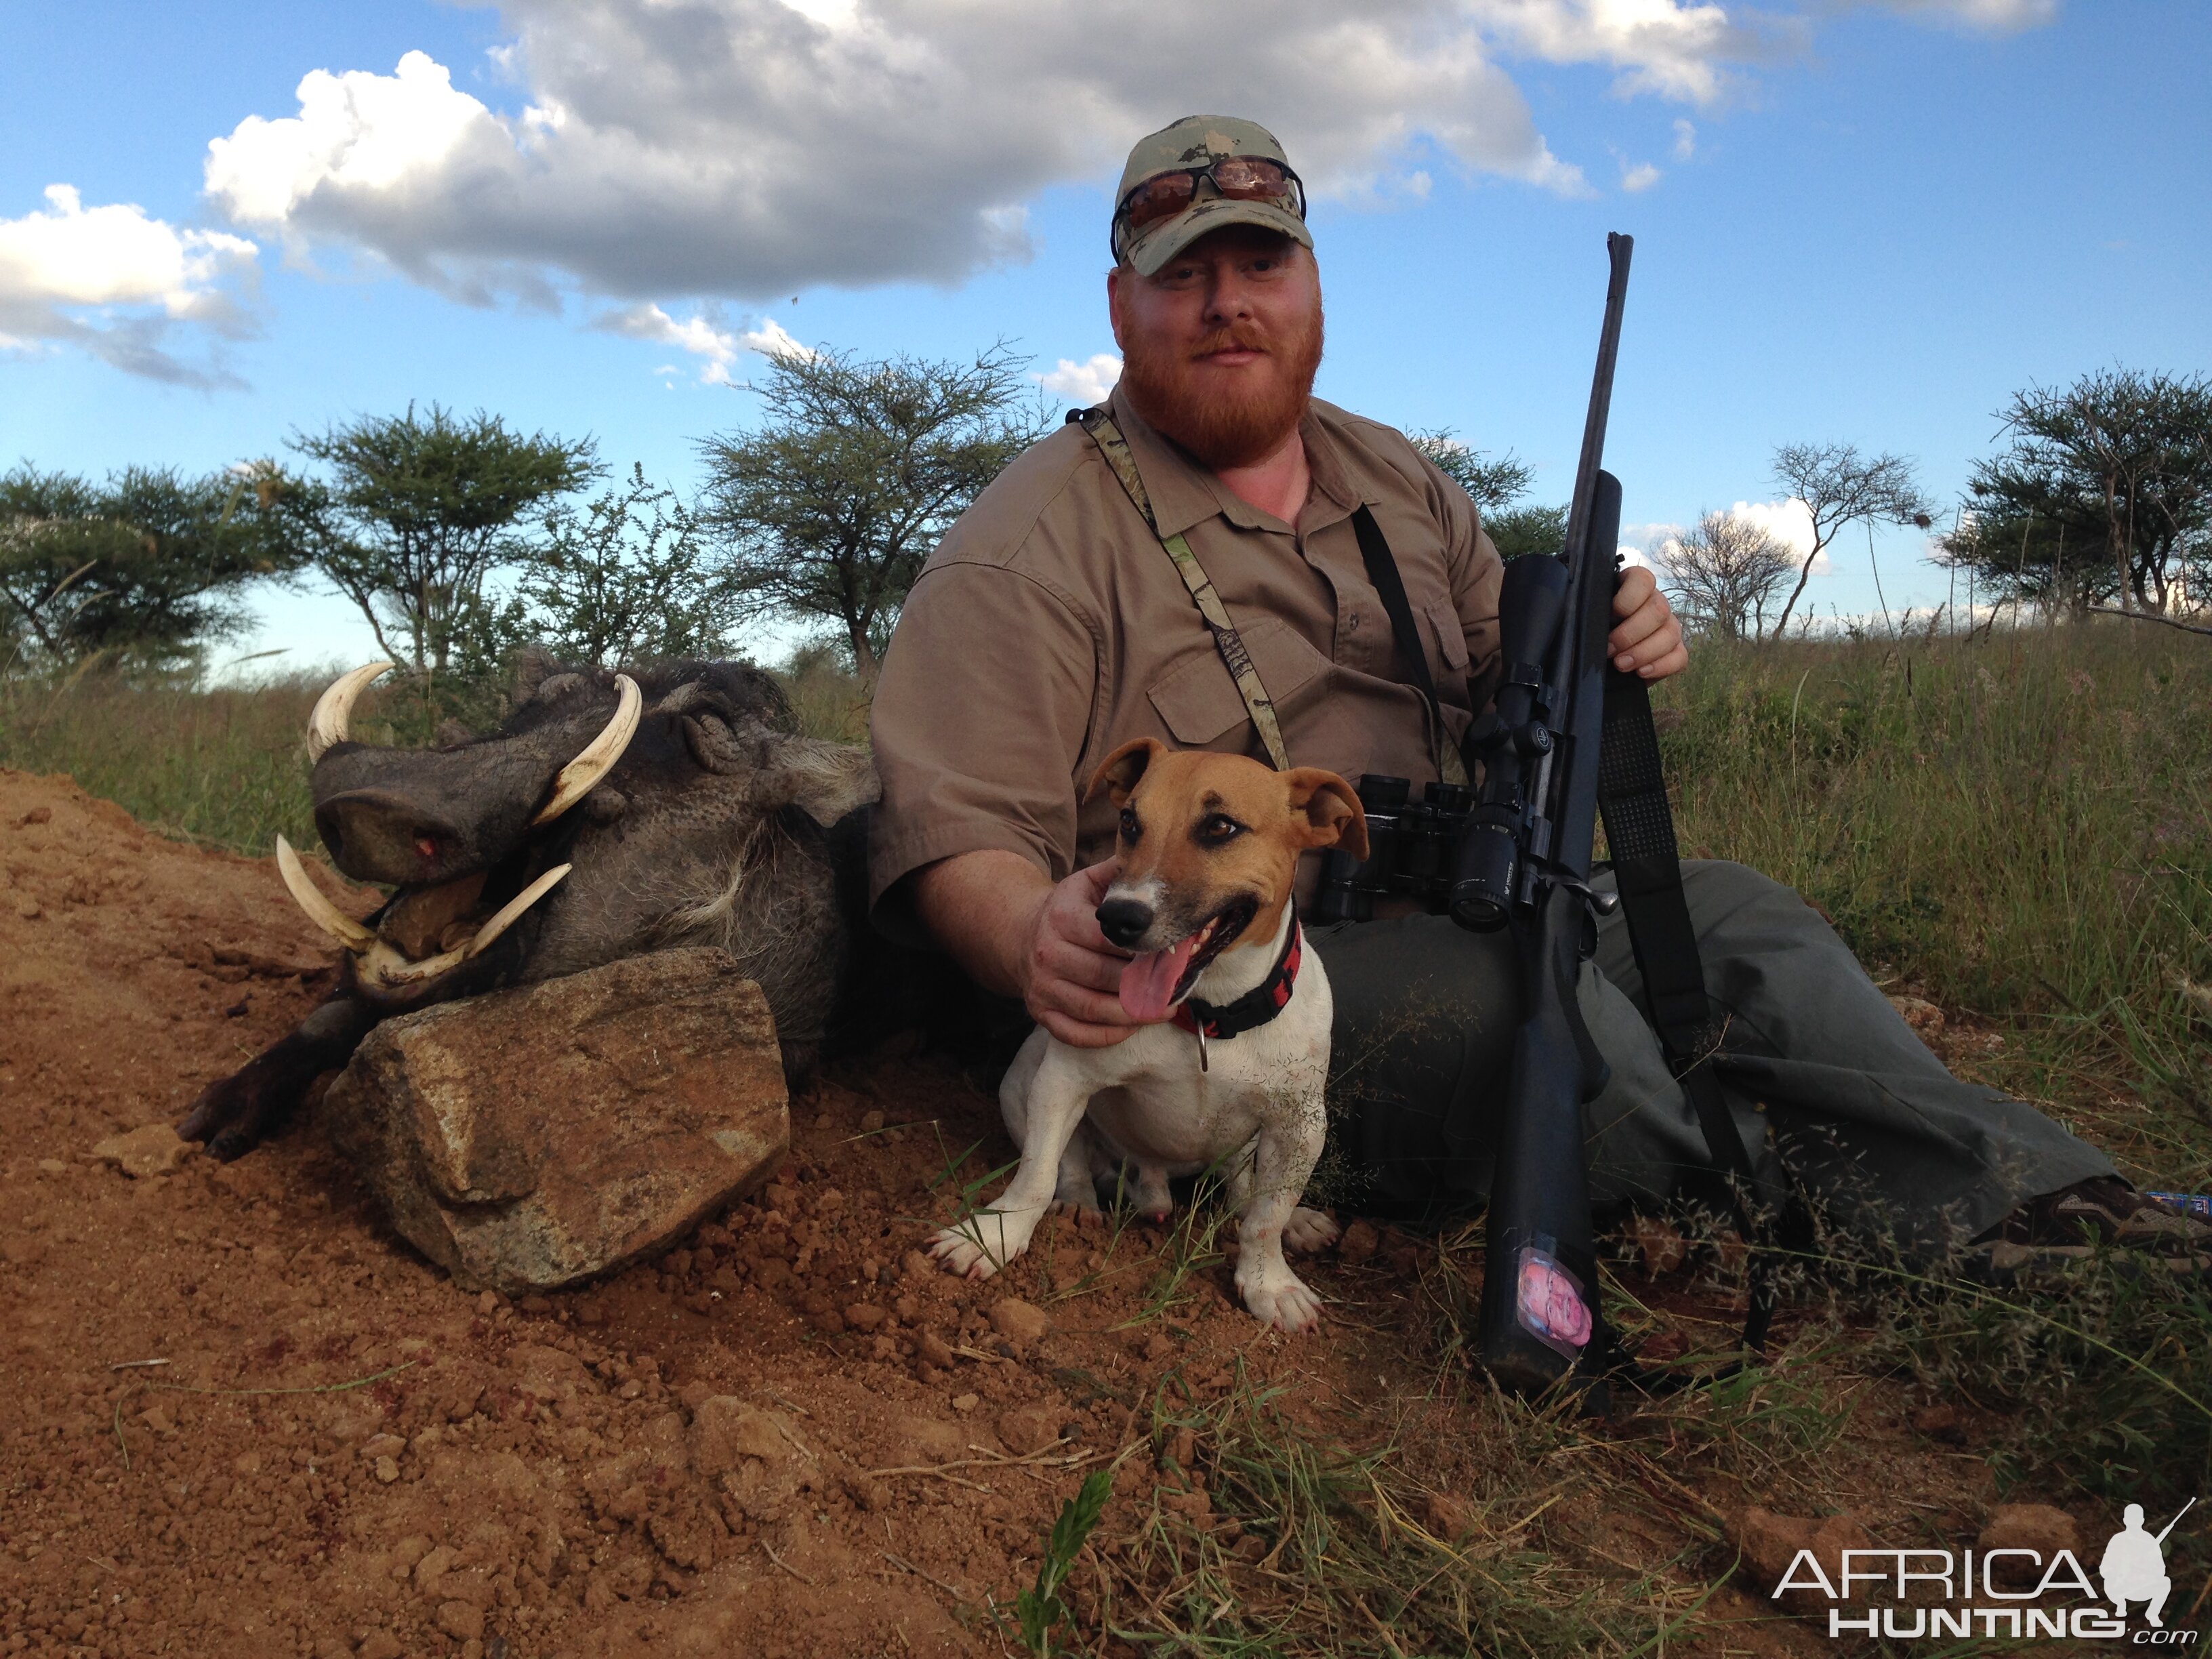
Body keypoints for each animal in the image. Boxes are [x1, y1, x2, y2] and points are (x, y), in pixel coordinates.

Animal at [928, 739, 1362, 1336]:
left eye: (1221, 826)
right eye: (1130, 821)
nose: (1117, 918)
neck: (1207, 1018)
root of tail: (1154, 1179)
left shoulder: (1300, 1125)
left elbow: (1264, 1220)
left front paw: (1270, 1283)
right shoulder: (1064, 1079)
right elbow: (1035, 1175)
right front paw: (995, 1236)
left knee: (1244, 1191)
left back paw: (1296, 1220)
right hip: (1024, 1081)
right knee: (1069, 1165)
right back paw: (1079, 1204)